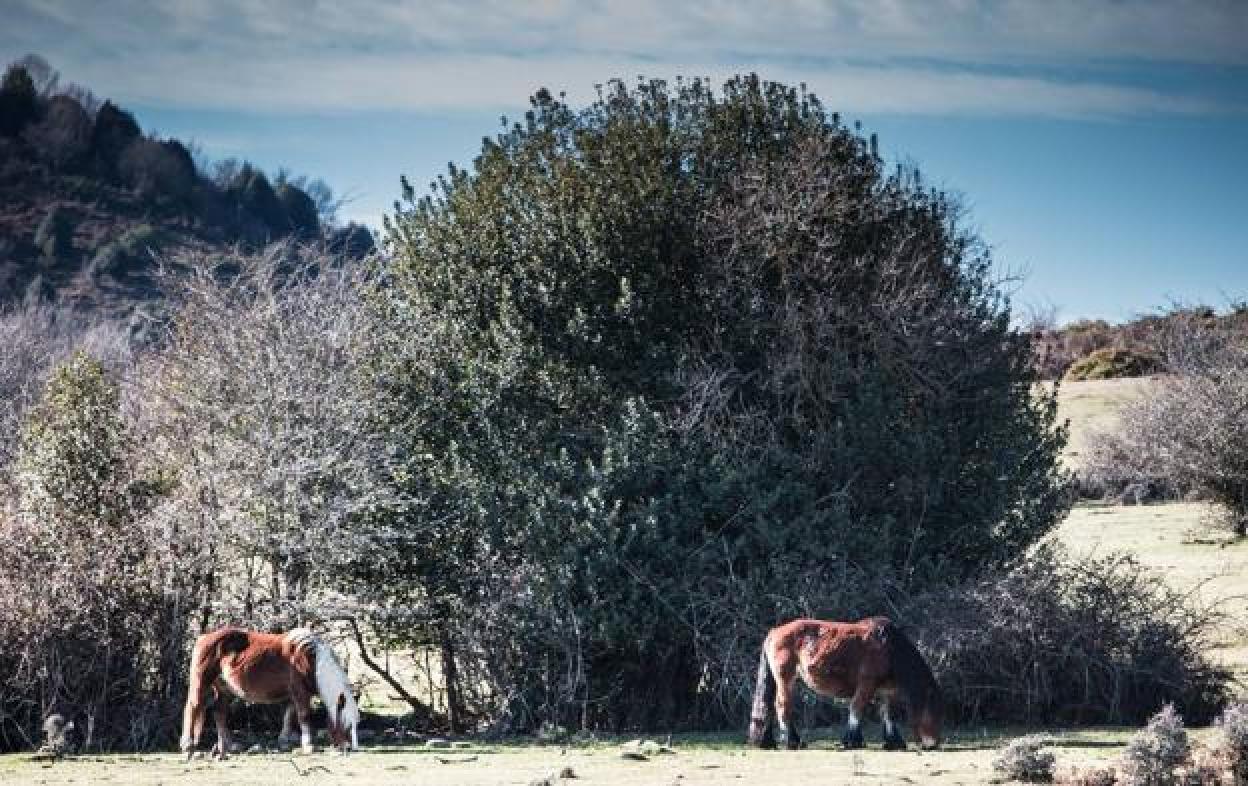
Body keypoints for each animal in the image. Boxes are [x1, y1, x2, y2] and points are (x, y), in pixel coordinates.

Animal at [180, 626, 361, 759]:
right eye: (346, 724)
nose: (350, 748)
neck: (310, 659)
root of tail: (204, 637)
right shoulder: (300, 692)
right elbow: (304, 716)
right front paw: (308, 745)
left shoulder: (292, 696)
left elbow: (288, 716)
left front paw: (284, 741)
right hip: (201, 683)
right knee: (193, 706)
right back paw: (188, 746)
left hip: (223, 689)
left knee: (219, 714)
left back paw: (227, 747)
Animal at [746, 616, 943, 751]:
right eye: (933, 710)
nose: (934, 743)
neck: (889, 648)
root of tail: (774, 632)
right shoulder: (866, 686)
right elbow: (856, 709)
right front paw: (853, 741)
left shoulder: (887, 692)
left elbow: (889, 716)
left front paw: (893, 742)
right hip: (785, 679)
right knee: (782, 706)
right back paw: (792, 742)